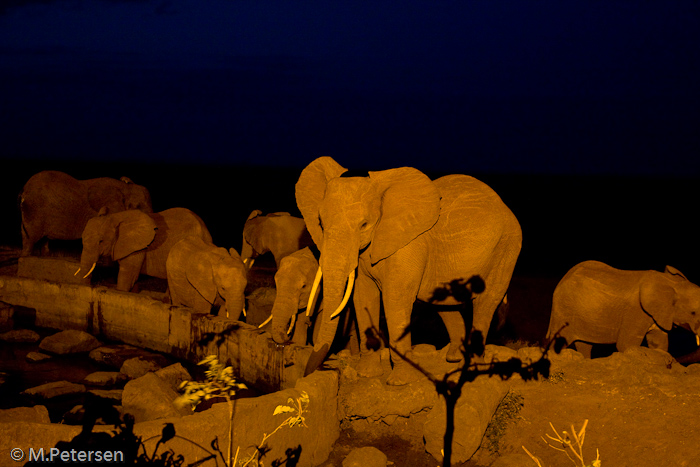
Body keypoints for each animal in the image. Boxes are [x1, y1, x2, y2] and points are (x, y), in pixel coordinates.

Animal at [19, 170, 152, 256]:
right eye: (138, 207)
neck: (125, 188)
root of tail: (24, 191)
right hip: (35, 210)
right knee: (31, 238)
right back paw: (26, 257)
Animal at [294, 156, 520, 384]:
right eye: (321, 223)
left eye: (364, 225)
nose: (309, 372)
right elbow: (364, 296)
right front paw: (367, 374)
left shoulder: (409, 245)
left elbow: (394, 299)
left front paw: (399, 381)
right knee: (443, 303)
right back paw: (454, 358)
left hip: (507, 246)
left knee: (486, 302)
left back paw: (472, 363)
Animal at [548, 260, 700, 358]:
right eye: (693, 313)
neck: (672, 283)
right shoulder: (637, 310)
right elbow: (626, 344)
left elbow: (658, 343)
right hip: (563, 310)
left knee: (584, 345)